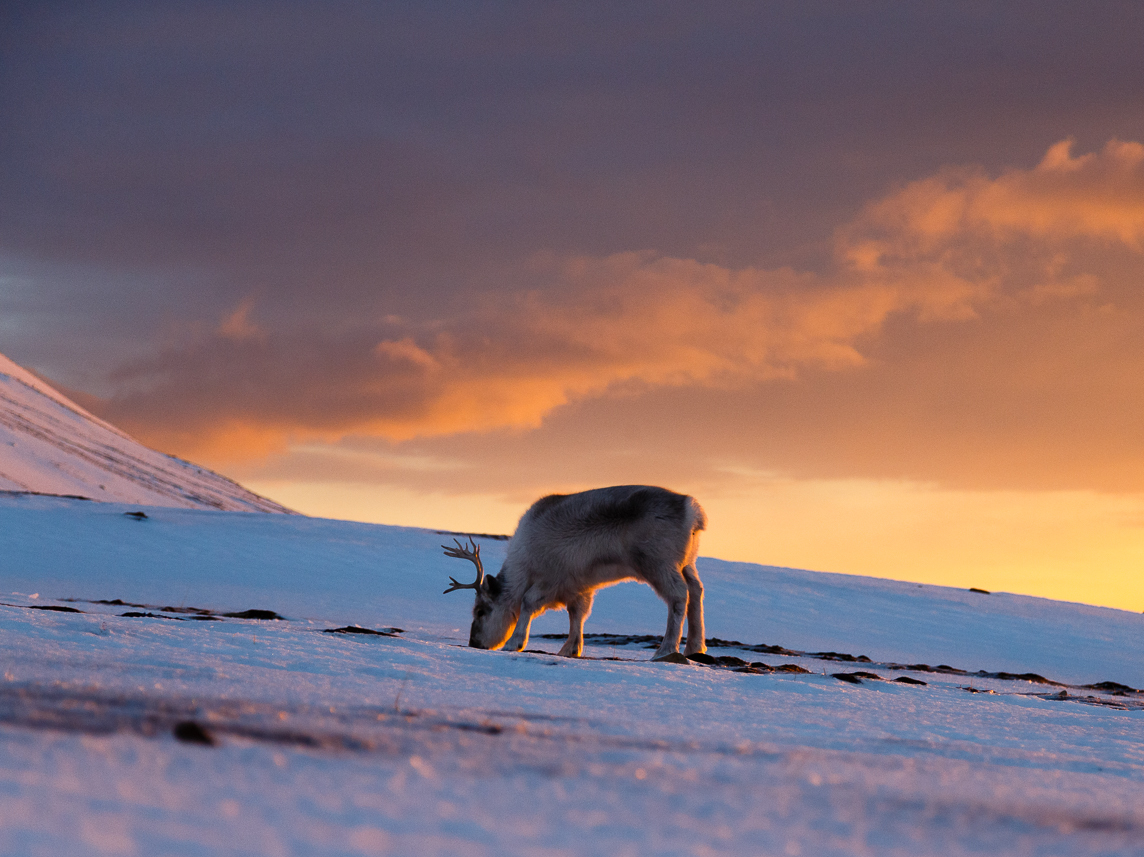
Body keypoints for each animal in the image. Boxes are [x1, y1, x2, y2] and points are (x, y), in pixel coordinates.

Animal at [443, 485, 707, 660]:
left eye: (480, 611)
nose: (474, 643)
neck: (523, 567)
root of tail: (693, 512)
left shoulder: (552, 577)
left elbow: (528, 602)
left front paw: (514, 643)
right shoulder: (579, 586)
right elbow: (578, 614)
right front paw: (570, 649)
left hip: (658, 563)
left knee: (679, 595)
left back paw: (665, 650)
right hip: (687, 563)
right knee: (696, 589)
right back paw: (694, 647)